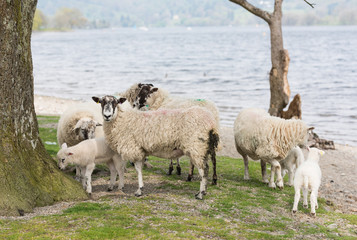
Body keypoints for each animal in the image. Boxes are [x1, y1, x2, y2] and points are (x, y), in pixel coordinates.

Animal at [91, 94, 220, 200]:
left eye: (116, 102)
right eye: (101, 102)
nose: (107, 116)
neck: (122, 119)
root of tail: (211, 122)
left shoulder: (134, 148)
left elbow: (137, 170)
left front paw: (139, 190)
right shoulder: (141, 149)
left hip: (197, 146)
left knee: (204, 170)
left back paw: (200, 194)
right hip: (204, 148)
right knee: (209, 166)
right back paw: (205, 189)